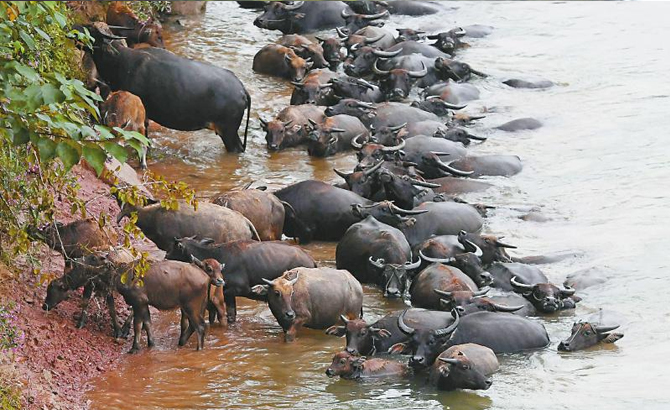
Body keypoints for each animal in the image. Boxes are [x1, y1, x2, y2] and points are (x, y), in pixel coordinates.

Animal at [167, 237, 316, 324]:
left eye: (174, 248)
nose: (166, 256)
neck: (220, 257)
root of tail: (311, 260)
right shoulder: (230, 295)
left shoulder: (233, 291)